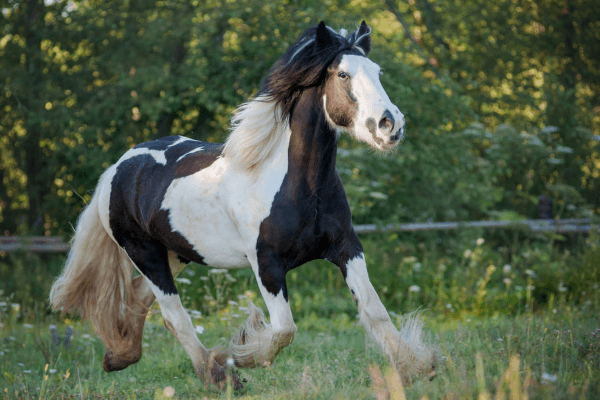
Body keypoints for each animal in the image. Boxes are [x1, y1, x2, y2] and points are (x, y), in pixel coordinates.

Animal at [49, 20, 434, 390]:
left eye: (377, 71)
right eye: (342, 74)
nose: (390, 125)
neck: (299, 187)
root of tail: (117, 168)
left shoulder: (346, 247)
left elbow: (374, 310)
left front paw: (417, 368)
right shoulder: (266, 262)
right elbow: (284, 329)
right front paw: (241, 354)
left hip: (177, 253)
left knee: (140, 298)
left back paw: (120, 357)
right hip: (144, 252)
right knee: (175, 316)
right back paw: (220, 376)